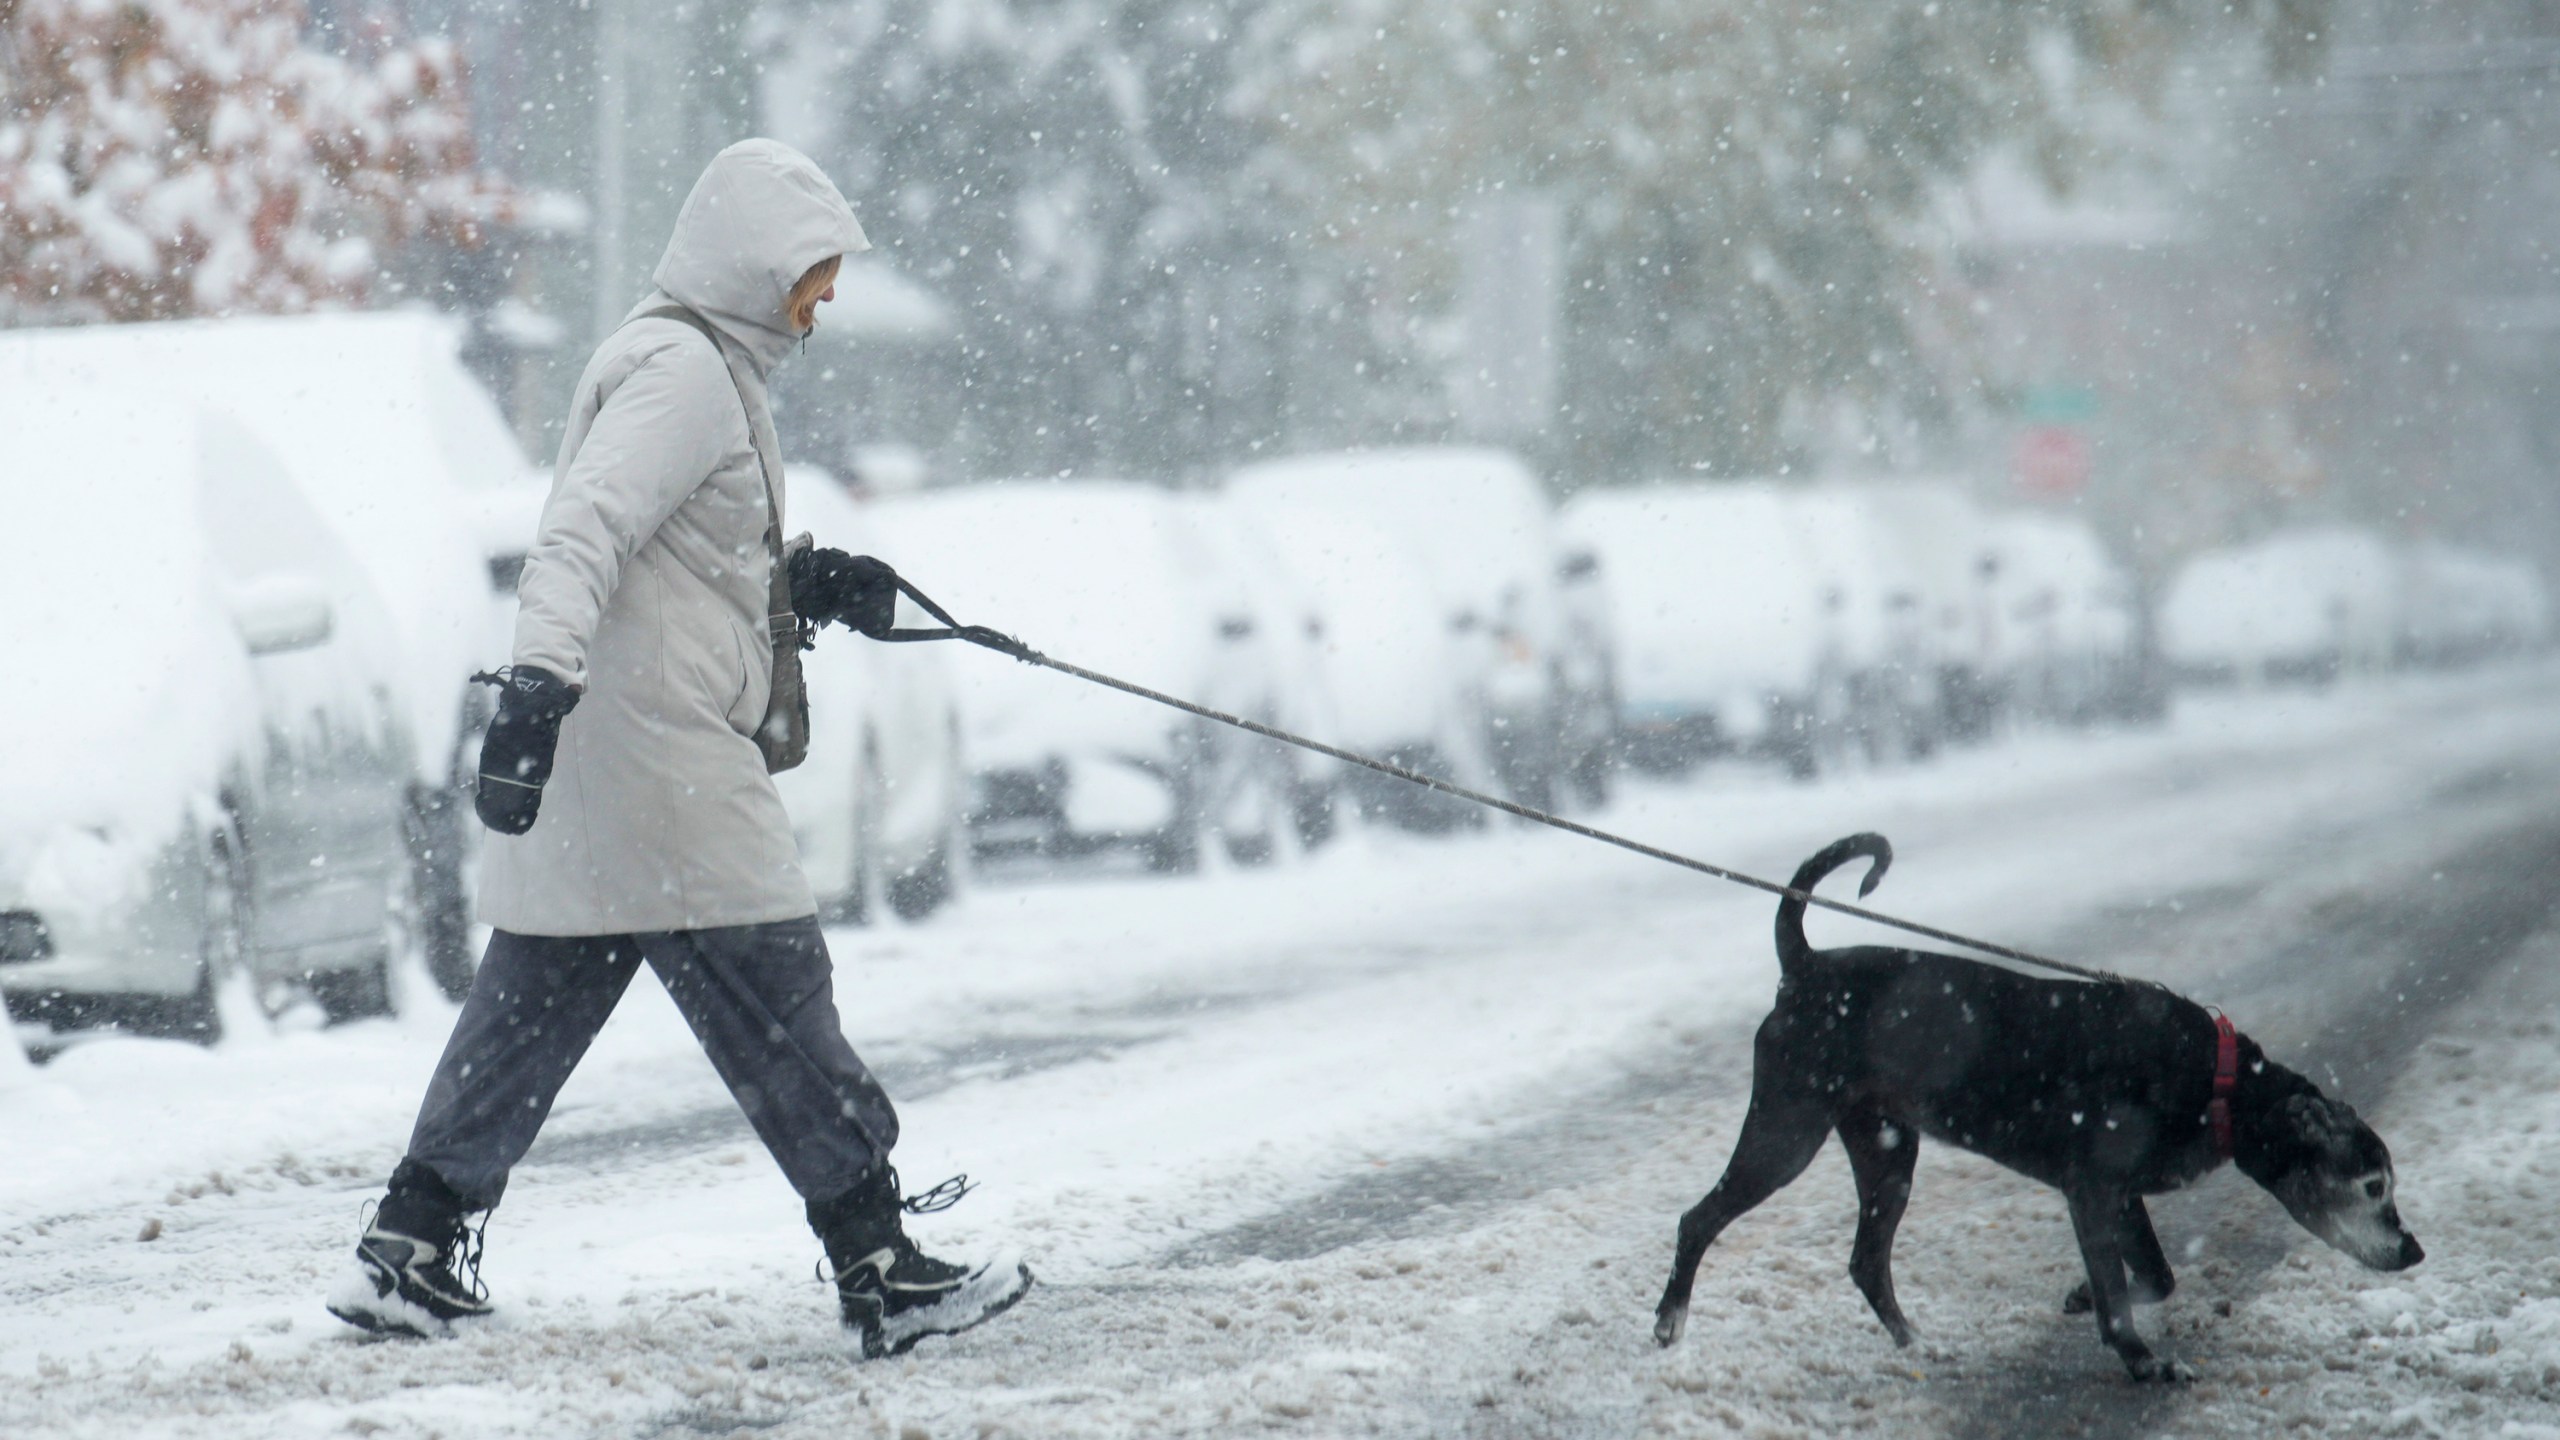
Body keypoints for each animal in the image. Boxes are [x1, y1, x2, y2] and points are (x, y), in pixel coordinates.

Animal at [1658, 830, 2416, 1383]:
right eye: (2371, 1186)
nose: (2414, 1251)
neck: (2222, 1085)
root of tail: (1805, 967)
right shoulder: (2093, 1188)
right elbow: (2123, 1293)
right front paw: (2142, 1362)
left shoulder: (2120, 1195)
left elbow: (2156, 1275)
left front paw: (2082, 1299)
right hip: (1787, 1132)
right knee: (1699, 1219)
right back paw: (1670, 1324)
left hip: (1887, 1151)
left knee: (1867, 1262)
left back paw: (1920, 1348)